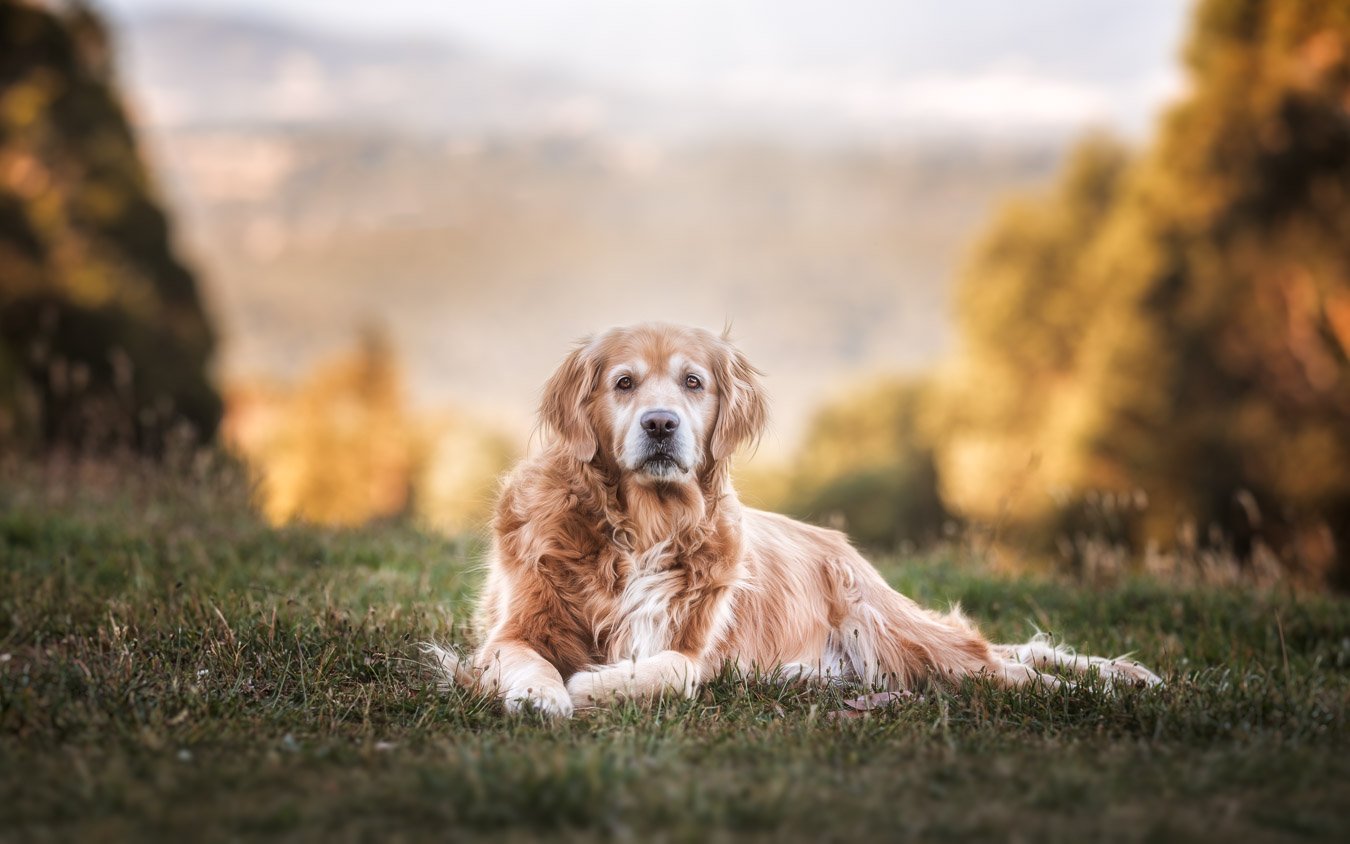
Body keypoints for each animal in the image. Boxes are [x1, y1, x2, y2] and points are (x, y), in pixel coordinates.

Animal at [429, 318, 1161, 713]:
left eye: (693, 382)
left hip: (898, 639)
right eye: (624, 383)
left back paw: (1109, 687)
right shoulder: (514, 628)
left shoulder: (694, 650)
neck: (643, 527)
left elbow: (666, 671)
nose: (661, 425)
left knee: (1010, 668)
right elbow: (526, 661)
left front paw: (588, 685)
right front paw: (544, 694)